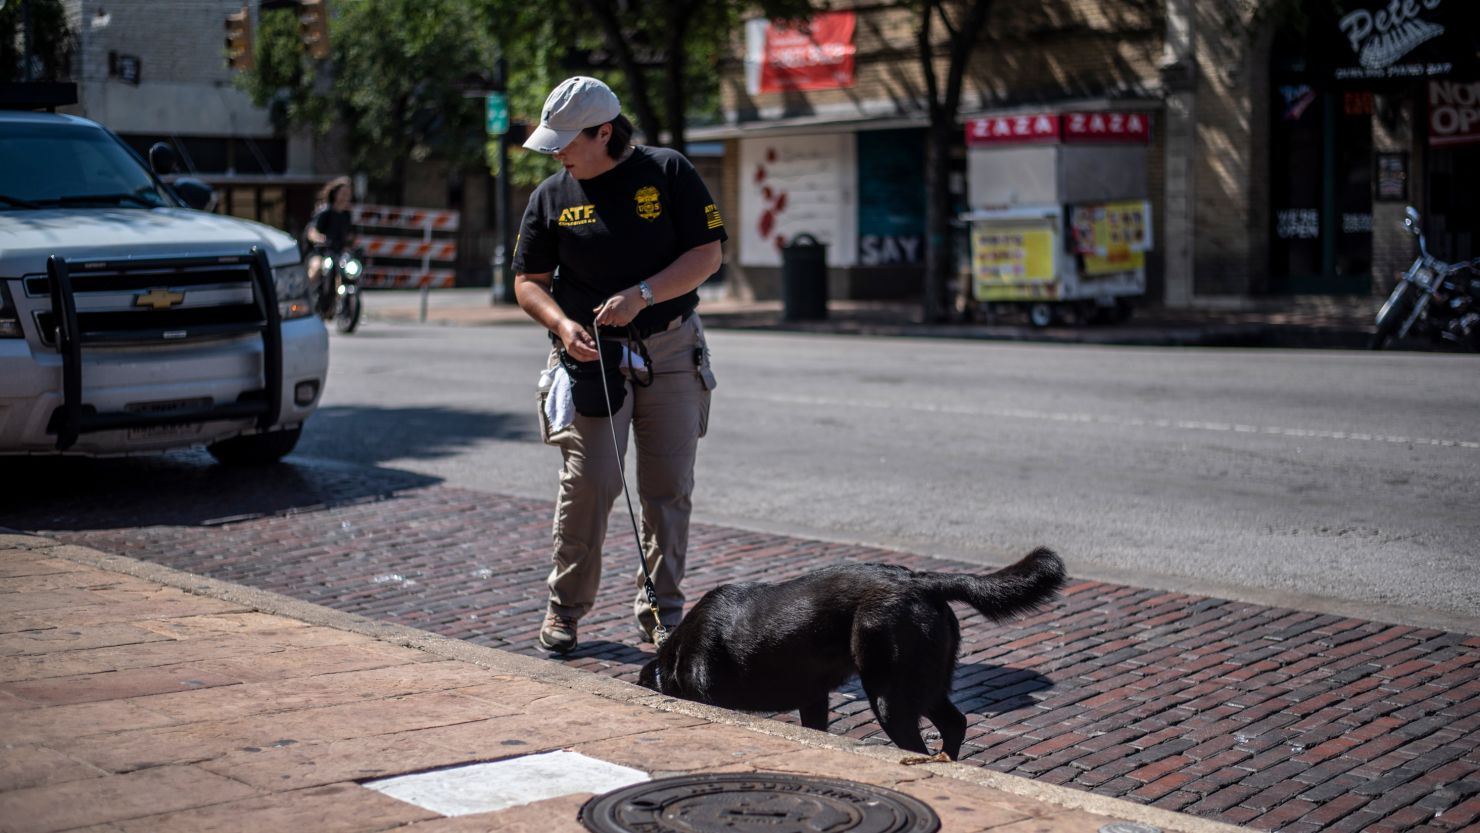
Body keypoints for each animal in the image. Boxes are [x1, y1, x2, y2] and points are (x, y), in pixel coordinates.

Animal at [636, 547, 1065, 763]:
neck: (674, 655)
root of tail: (919, 580)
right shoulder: (813, 698)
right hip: (924, 683)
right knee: (955, 723)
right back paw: (945, 763)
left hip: (890, 694)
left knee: (922, 737)